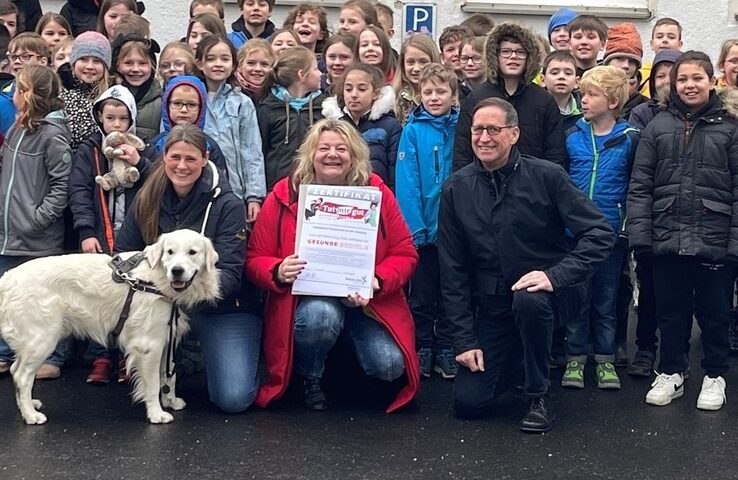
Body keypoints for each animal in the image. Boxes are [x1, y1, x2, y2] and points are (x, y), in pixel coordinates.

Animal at [0, 229, 218, 424]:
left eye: (192, 252)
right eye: (169, 252)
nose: (177, 271)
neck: (157, 280)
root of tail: (8, 277)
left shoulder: (166, 340)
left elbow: (168, 376)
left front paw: (170, 401)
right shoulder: (149, 345)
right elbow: (154, 384)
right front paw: (156, 414)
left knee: (15, 371)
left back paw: (28, 406)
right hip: (42, 339)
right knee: (22, 376)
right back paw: (30, 416)